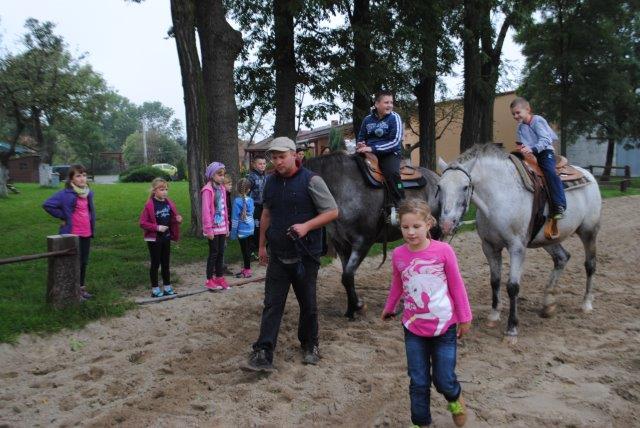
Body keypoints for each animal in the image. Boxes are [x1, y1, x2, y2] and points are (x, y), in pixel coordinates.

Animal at [305, 152, 441, 319]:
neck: (344, 189)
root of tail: (435, 176)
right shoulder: (341, 244)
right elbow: (347, 277)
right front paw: (351, 309)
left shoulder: (363, 242)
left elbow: (347, 275)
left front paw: (358, 306)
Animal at [437, 144, 601, 343]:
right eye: (439, 186)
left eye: (465, 186)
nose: (446, 224)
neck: (498, 198)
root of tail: (589, 175)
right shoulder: (489, 247)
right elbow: (495, 281)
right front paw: (494, 315)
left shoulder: (517, 248)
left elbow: (513, 286)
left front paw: (512, 329)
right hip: (548, 239)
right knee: (562, 258)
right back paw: (548, 304)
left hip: (589, 232)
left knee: (590, 265)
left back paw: (586, 303)